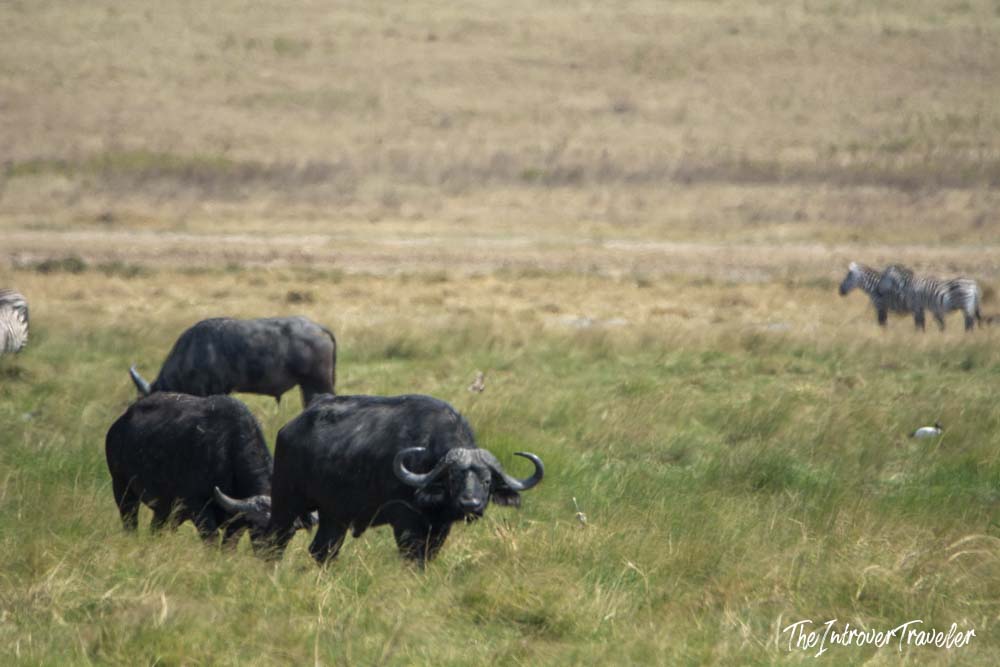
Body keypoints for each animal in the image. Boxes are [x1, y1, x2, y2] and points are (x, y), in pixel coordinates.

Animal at [106, 392, 312, 546]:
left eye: (290, 533)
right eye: (259, 529)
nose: (270, 554)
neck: (228, 453)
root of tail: (119, 424)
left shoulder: (236, 520)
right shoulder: (198, 507)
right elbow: (211, 539)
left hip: (166, 508)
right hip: (122, 487)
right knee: (130, 520)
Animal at [214, 394, 544, 565]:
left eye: (487, 481)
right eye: (453, 478)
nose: (471, 504)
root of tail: (289, 428)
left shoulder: (439, 528)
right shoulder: (405, 522)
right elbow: (412, 558)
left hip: (334, 514)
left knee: (323, 550)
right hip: (286, 501)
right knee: (275, 542)